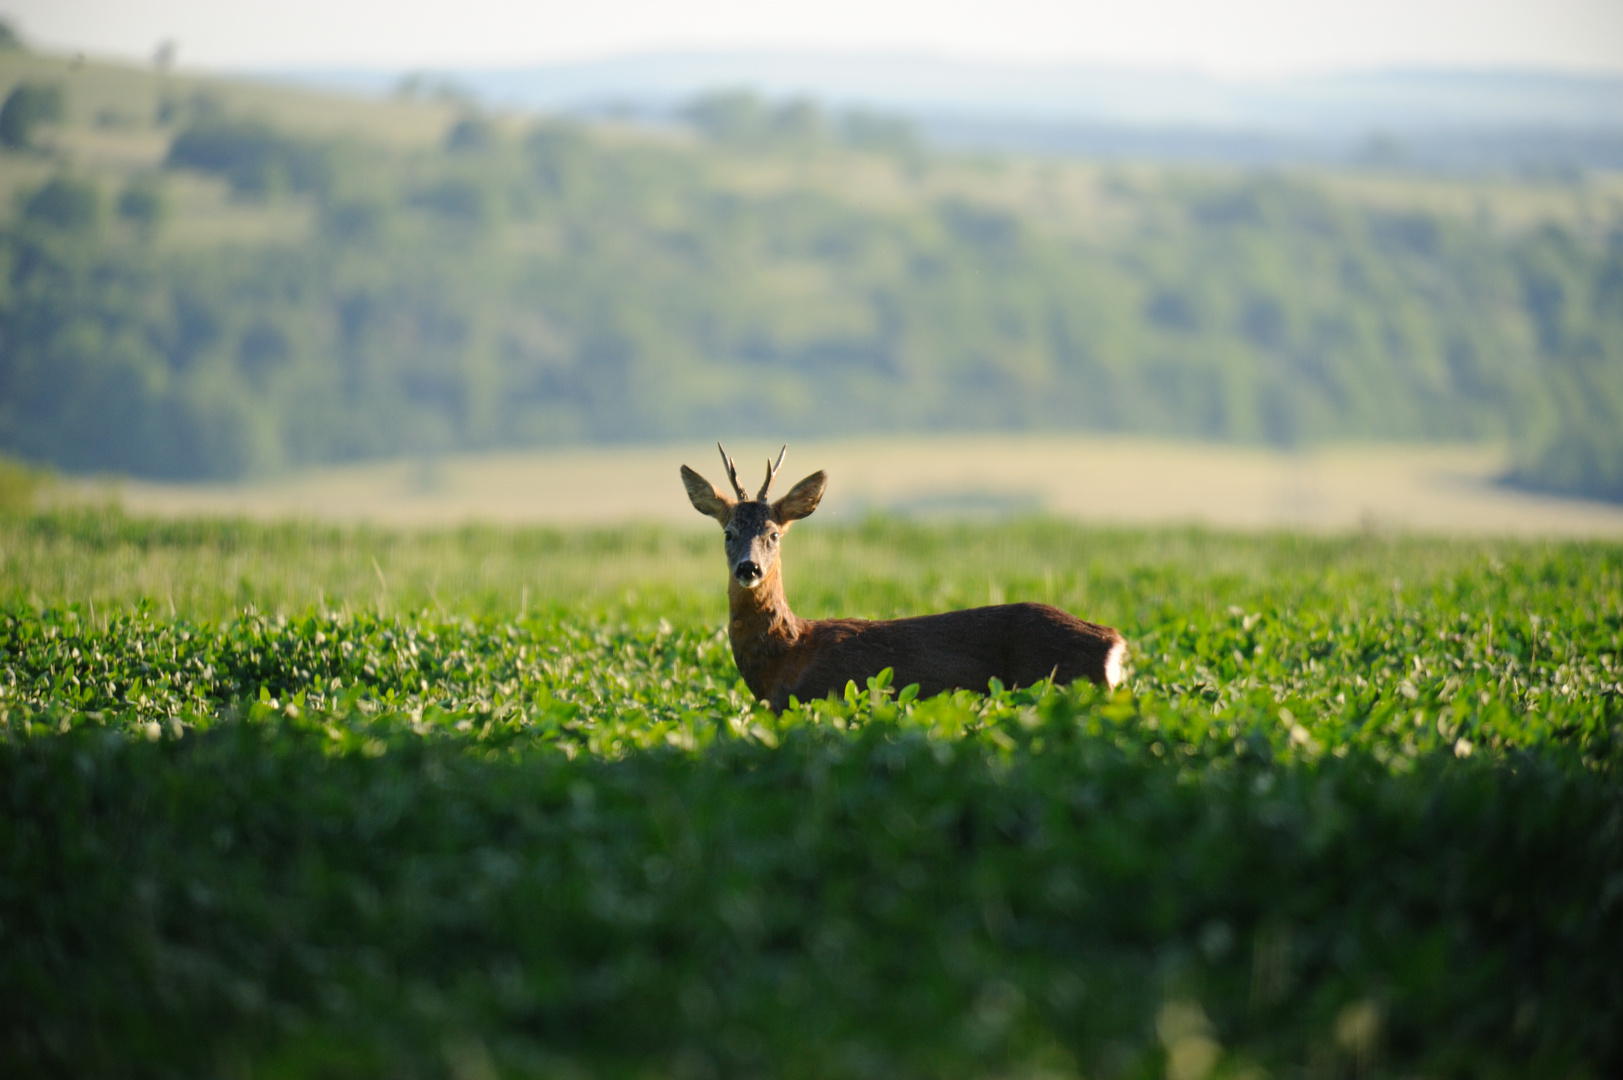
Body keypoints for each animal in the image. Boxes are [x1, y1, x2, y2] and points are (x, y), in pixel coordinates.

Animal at [678, 441, 1123, 711]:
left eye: (773, 534)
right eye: (728, 533)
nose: (748, 568)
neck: (786, 655)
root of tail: (1114, 643)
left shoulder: (813, 699)